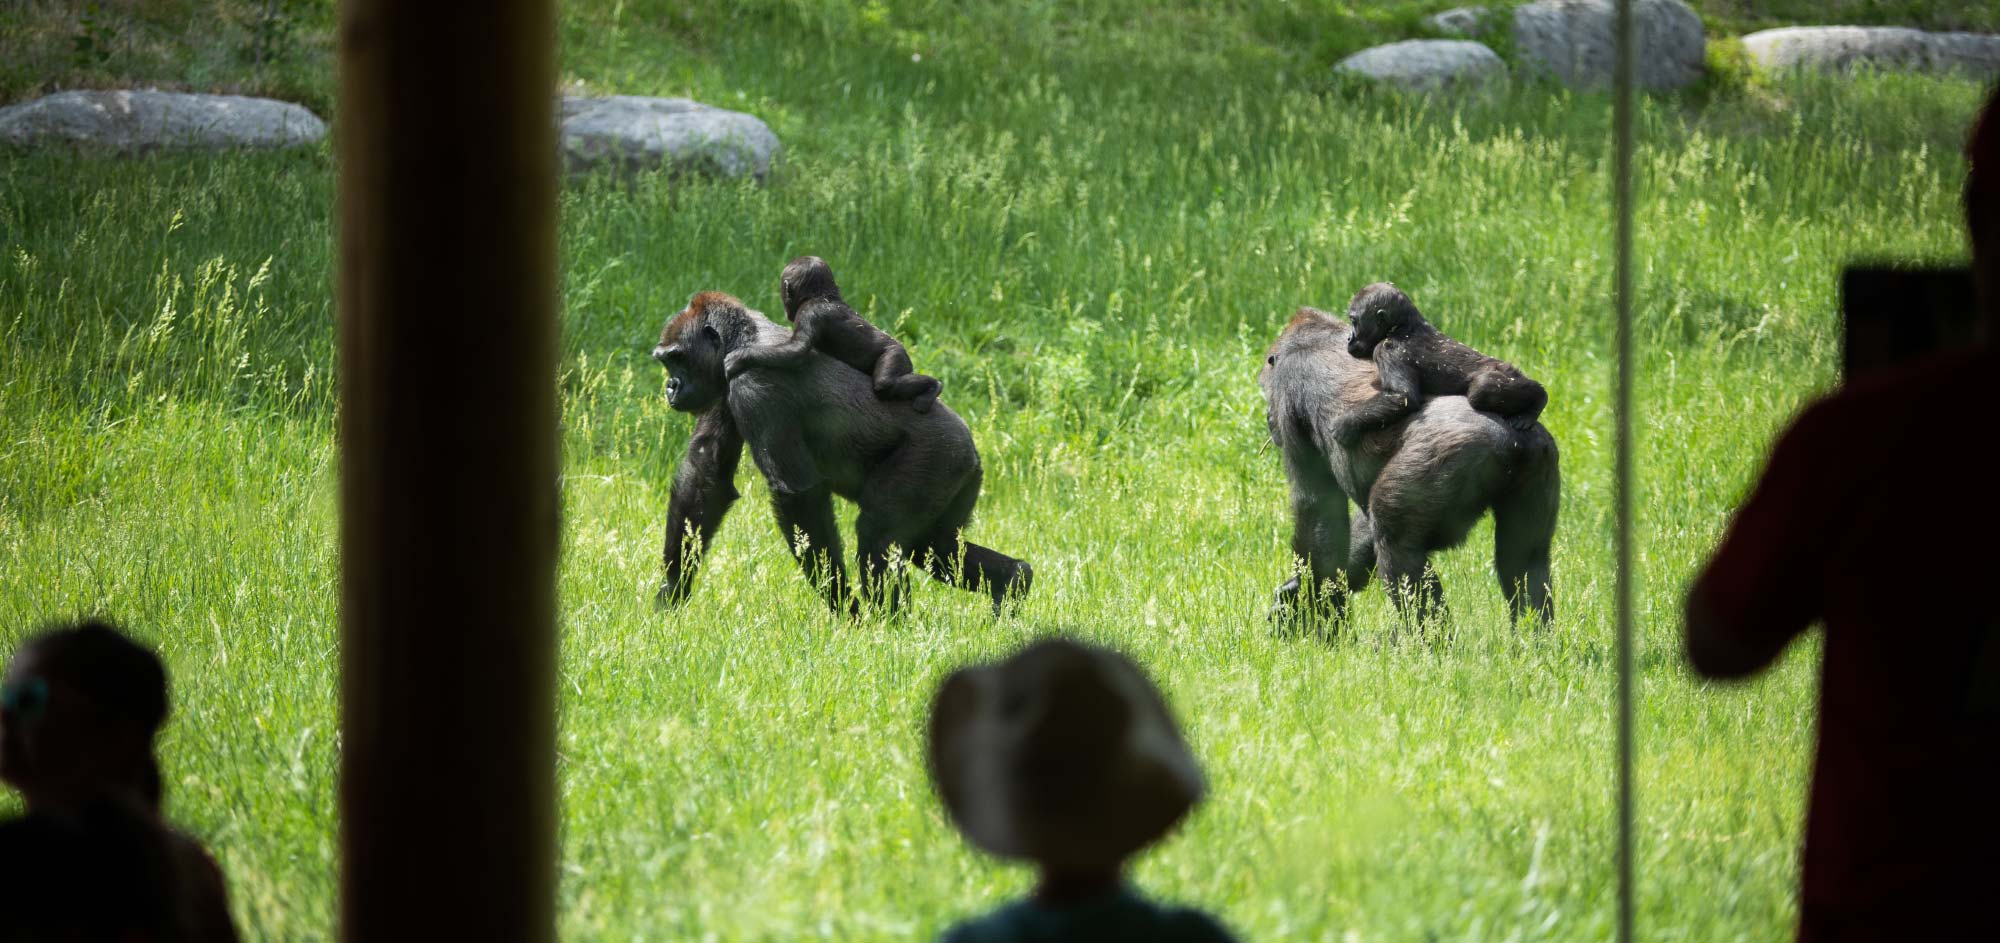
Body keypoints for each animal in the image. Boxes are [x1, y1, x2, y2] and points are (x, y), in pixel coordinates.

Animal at [724, 253, 940, 411]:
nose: (786, 309)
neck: (820, 295)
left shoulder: (809, 314)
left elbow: (797, 350)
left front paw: (742, 356)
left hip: (896, 354)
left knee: (886, 382)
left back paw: (933, 386)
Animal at [1264, 305, 1560, 623]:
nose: (1268, 417)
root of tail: (1509, 437)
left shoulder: (1288, 389)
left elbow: (1317, 506)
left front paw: (1309, 604)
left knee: (1396, 543)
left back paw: (1427, 636)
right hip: (1538, 454)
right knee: (1525, 556)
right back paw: (1533, 632)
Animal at [1336, 281, 1552, 447]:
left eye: (1354, 321)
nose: (1349, 339)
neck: (1402, 324)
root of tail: (1513, 369)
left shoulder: (1388, 351)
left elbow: (1403, 397)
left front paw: (1348, 423)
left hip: (1503, 372)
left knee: (1481, 389)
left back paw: (1538, 398)